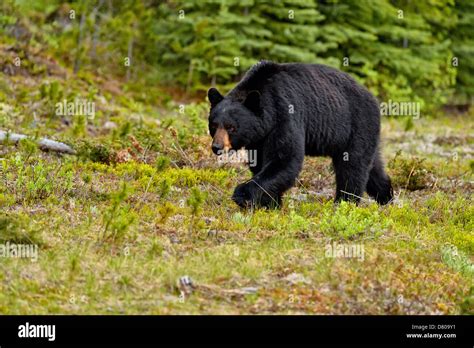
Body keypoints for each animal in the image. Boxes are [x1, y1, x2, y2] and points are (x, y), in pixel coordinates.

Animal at [207, 60, 392, 208]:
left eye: (231, 127)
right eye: (214, 125)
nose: (217, 147)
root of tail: (374, 99)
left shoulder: (285, 113)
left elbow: (284, 159)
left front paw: (243, 195)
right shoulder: (259, 137)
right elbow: (260, 162)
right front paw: (271, 203)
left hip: (356, 124)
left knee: (353, 166)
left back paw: (344, 203)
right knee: (372, 167)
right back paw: (386, 197)